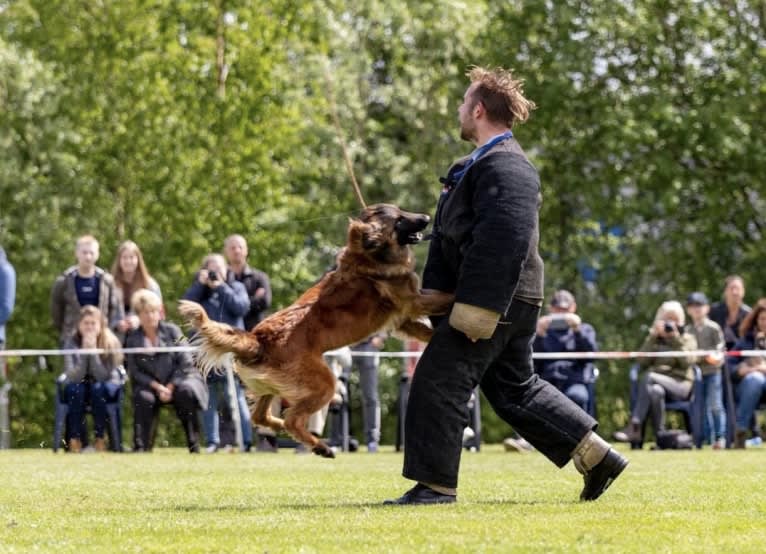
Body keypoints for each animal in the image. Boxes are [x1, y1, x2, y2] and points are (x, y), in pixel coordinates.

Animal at [178, 205, 456, 454]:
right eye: (398, 219)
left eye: (402, 212)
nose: (426, 217)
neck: (368, 255)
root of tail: (257, 339)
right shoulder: (413, 301)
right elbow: (448, 297)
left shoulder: (402, 318)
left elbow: (425, 327)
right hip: (325, 383)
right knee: (292, 418)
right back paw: (320, 446)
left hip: (272, 386)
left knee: (261, 417)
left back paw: (286, 430)